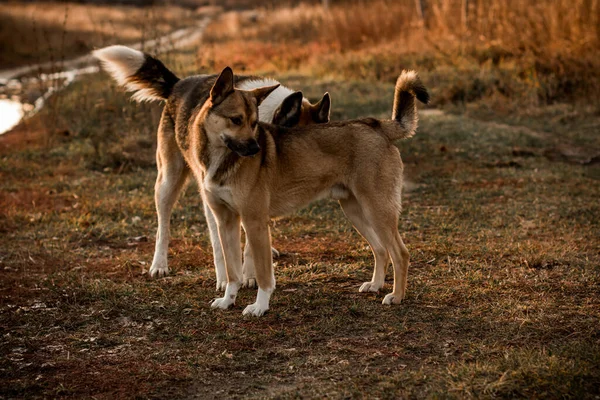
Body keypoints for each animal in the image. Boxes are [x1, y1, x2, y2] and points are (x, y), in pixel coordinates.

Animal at [92, 45, 332, 290]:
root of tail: (178, 84)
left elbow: (251, 241)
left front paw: (250, 274)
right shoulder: (213, 201)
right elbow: (221, 246)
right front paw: (227, 280)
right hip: (168, 182)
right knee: (163, 227)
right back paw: (159, 264)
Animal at [146, 65, 426, 316]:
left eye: (254, 122)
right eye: (236, 120)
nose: (256, 149)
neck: (222, 158)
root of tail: (376, 125)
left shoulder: (255, 221)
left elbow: (261, 273)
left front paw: (259, 306)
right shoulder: (226, 221)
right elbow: (233, 270)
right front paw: (228, 300)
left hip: (377, 210)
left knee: (400, 253)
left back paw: (396, 296)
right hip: (355, 210)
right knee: (381, 249)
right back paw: (376, 285)